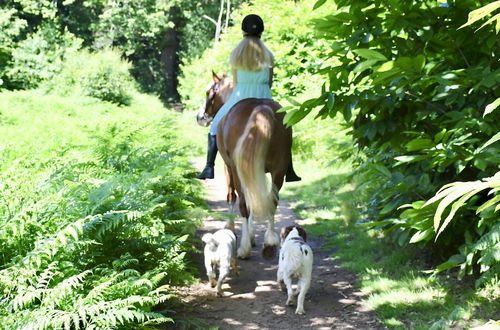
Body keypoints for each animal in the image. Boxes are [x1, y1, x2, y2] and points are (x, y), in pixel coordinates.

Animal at [196, 73, 292, 260]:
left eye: (208, 92)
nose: (200, 117)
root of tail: (261, 107)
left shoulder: (229, 168)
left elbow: (231, 197)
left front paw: (231, 227)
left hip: (237, 169)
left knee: (242, 203)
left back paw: (244, 248)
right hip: (278, 170)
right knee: (271, 202)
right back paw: (270, 244)